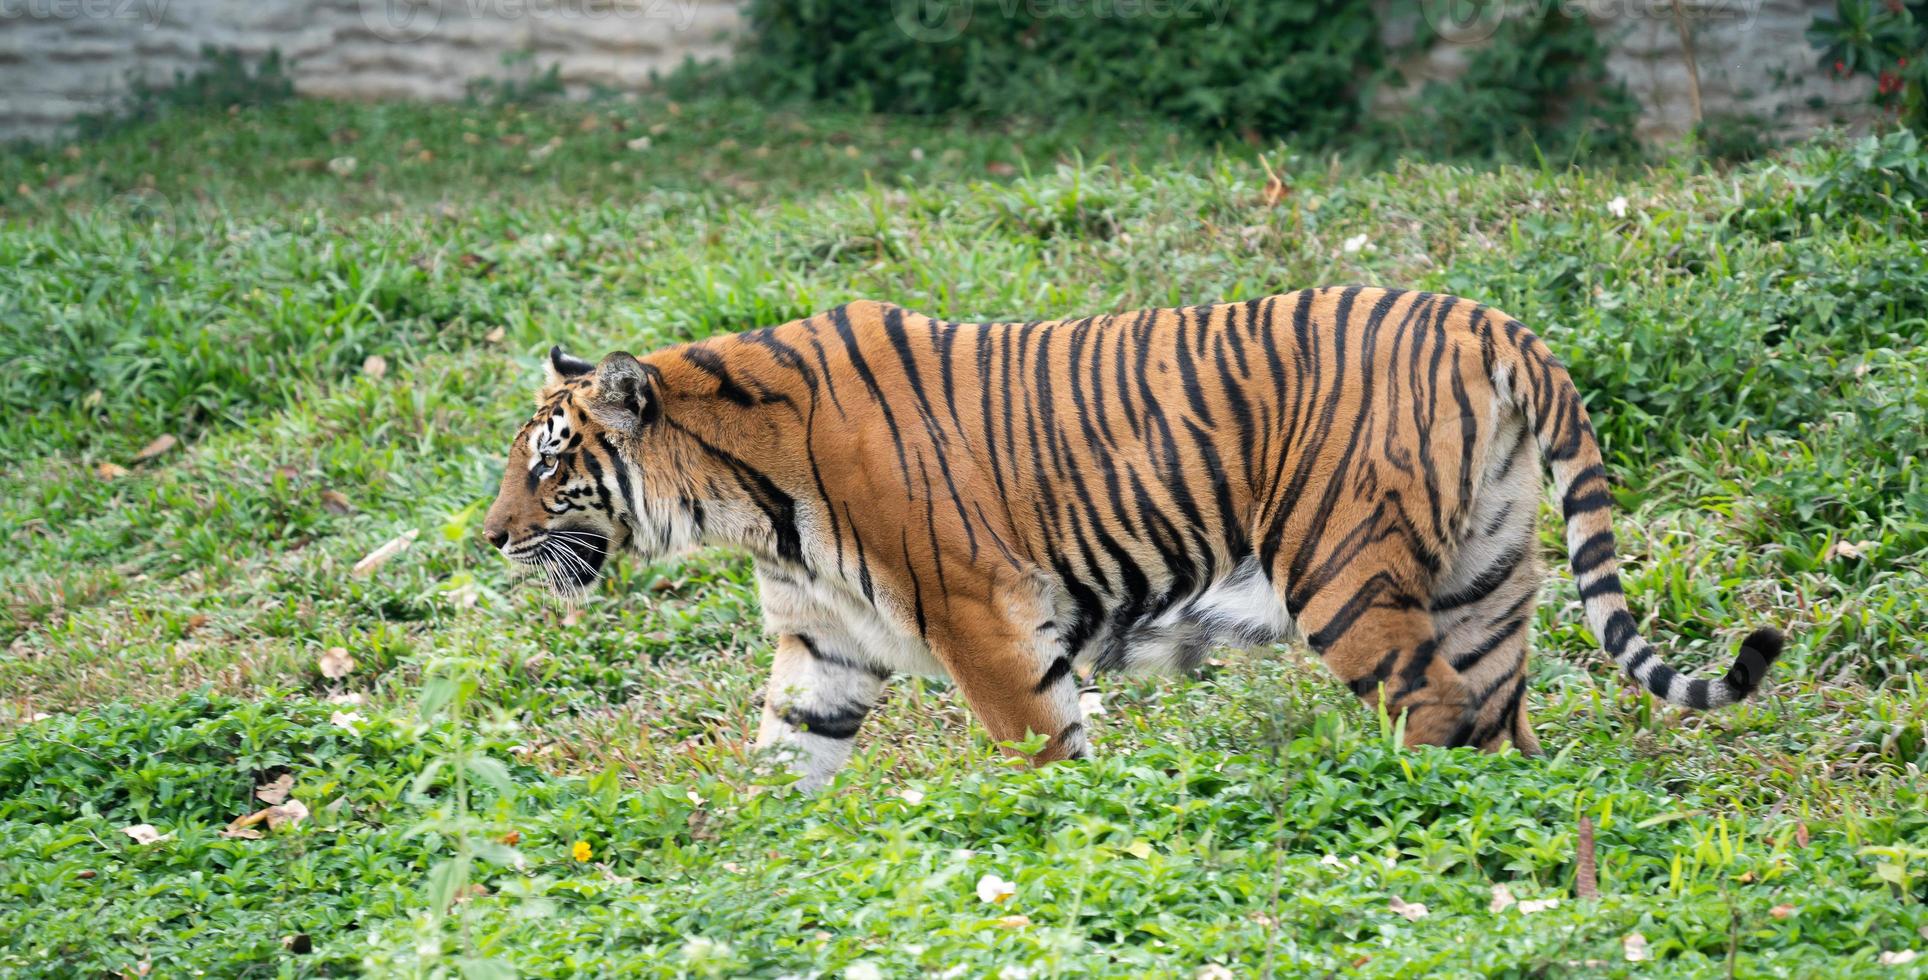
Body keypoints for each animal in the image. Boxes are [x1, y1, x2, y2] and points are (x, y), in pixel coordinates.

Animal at [482, 285, 1773, 787]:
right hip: (1484, 572)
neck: (746, 499)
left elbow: (1043, 752)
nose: (491, 537)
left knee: (1435, 707)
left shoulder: (982, 619)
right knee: (1500, 719)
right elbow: (783, 759)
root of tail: (1487, 318)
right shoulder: (824, 644)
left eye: (547, 464)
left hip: (1342, 571)